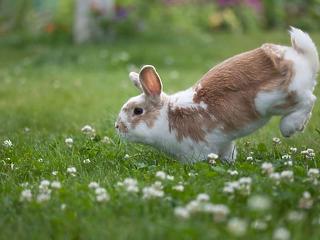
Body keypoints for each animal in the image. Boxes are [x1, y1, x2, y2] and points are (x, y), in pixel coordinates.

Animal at [115, 27, 318, 163]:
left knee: (308, 100)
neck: (168, 116)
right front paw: (229, 163)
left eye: (138, 111)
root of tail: (300, 58)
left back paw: (290, 127)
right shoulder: (224, 142)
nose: (117, 126)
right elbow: (228, 153)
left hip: (274, 98)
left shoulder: (199, 147)